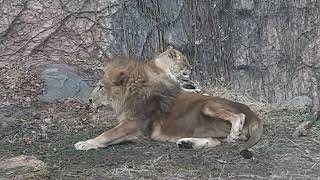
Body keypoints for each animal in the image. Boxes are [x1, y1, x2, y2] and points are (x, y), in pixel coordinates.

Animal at [74, 57, 262, 158]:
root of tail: (254, 114)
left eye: (100, 86)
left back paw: (234, 133)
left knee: (238, 117)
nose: (89, 100)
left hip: (209, 105)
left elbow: (107, 134)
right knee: (217, 141)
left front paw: (85, 143)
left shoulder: (135, 125)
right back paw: (187, 143)